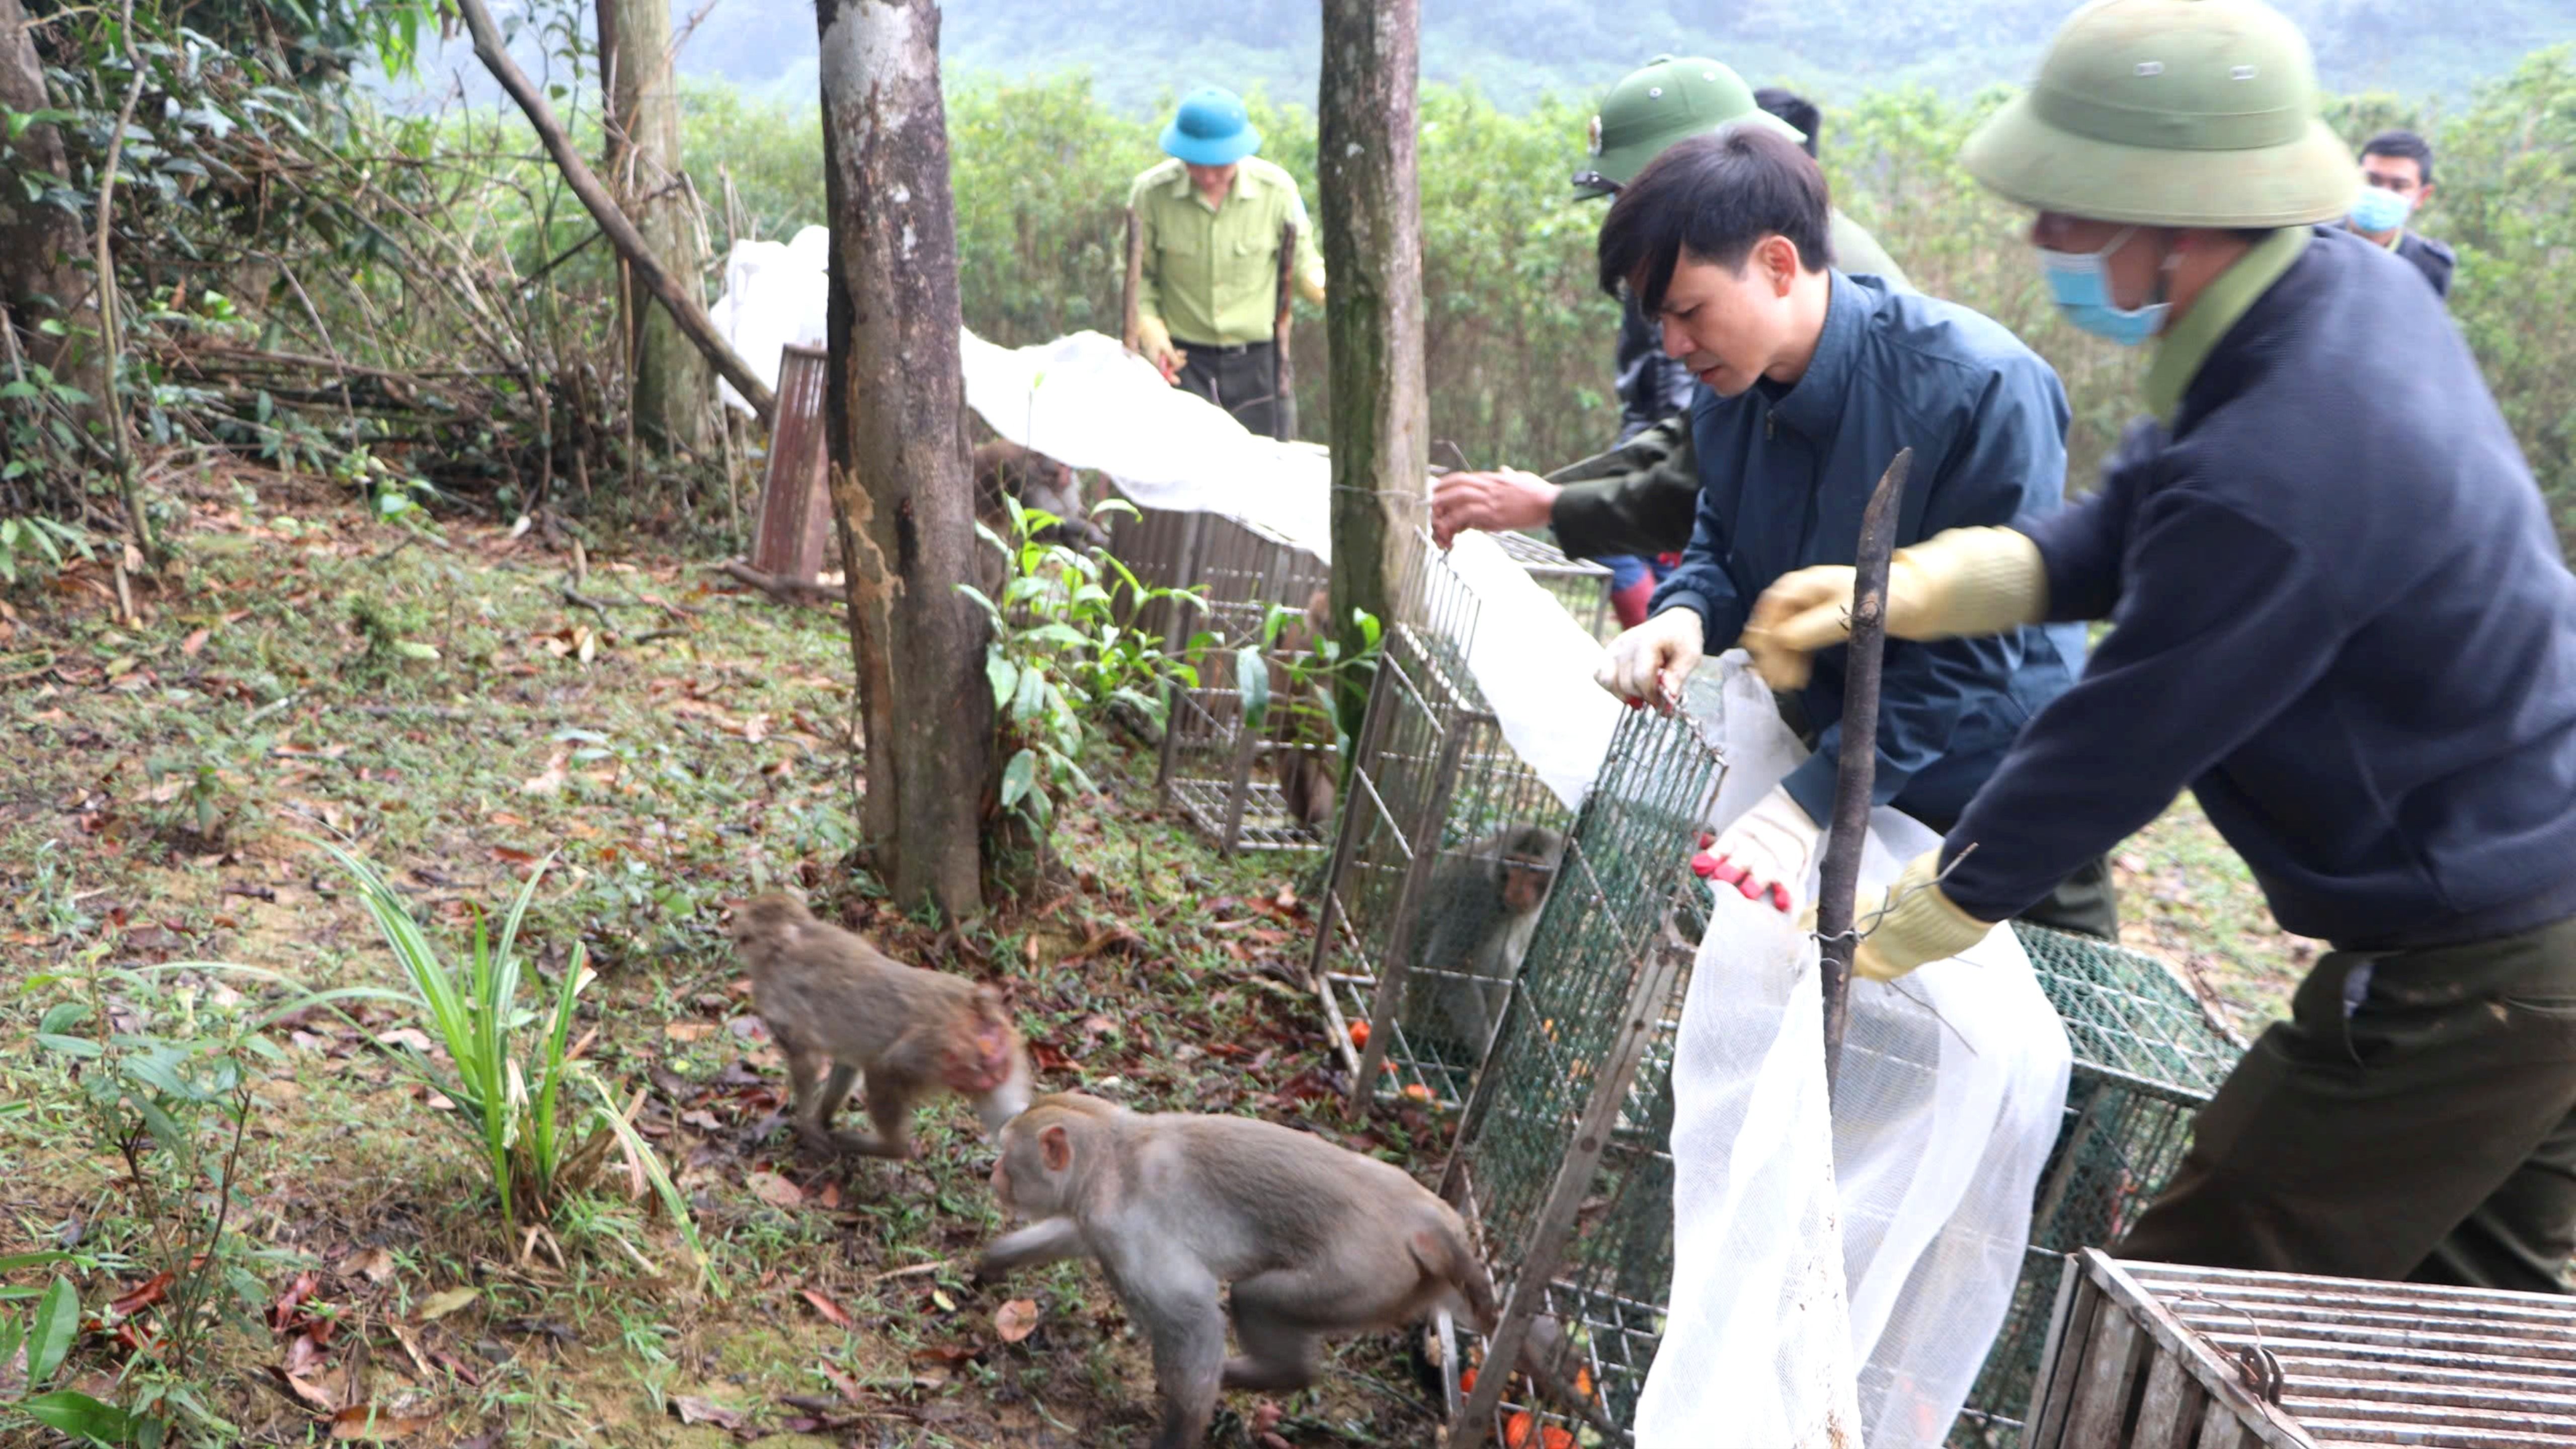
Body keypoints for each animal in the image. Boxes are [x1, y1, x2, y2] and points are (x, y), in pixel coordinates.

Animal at [732, 887, 1030, 1155]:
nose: (736, 945)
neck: (792, 937)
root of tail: (977, 1005)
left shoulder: (774, 997)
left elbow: (806, 1062)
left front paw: (807, 1126)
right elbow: (847, 1063)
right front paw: (822, 1118)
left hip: (942, 1049)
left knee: (885, 1069)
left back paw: (889, 1148)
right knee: (1012, 1125)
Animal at [979, 1093, 1504, 1443]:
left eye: (1009, 1155)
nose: (993, 1172)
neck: (1111, 1154)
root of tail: (1426, 1222)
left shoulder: (1125, 1224)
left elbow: (1194, 1320)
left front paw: (1180, 1432)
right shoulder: (1098, 1219)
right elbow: (1073, 1236)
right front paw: (993, 1261)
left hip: (1364, 1276)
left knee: (1256, 1299)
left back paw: (1281, 1374)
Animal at [1319, 523, 1576, 1108]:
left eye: (1535, 874)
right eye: (1512, 871)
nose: (1519, 892)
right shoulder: (1479, 901)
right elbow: (1449, 967)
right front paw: (1486, 1058)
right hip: (1430, 1015)